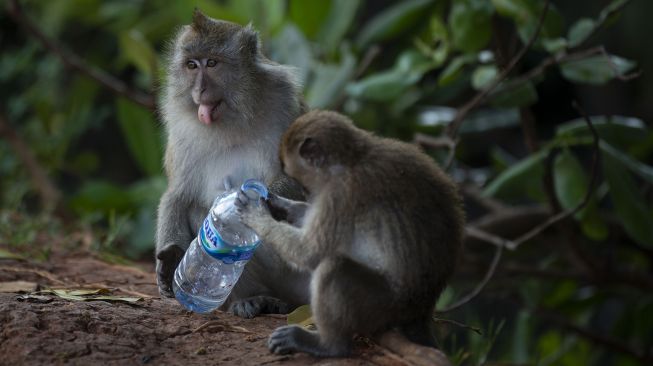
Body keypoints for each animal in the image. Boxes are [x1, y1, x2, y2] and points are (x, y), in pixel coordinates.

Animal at [157, 10, 312, 318]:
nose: (199, 89)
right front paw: (169, 262)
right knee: (197, 211)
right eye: (191, 65)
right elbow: (178, 195)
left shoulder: (285, 101)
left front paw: (252, 200)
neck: (236, 116)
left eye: (212, 63)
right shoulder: (181, 130)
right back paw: (252, 299)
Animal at [238, 110, 464, 356]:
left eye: (301, 181)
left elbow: (310, 252)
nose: (307, 194)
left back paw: (329, 345)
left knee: (335, 269)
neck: (352, 160)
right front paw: (278, 204)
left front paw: (257, 214)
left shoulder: (341, 193)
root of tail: (422, 311)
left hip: (384, 307)